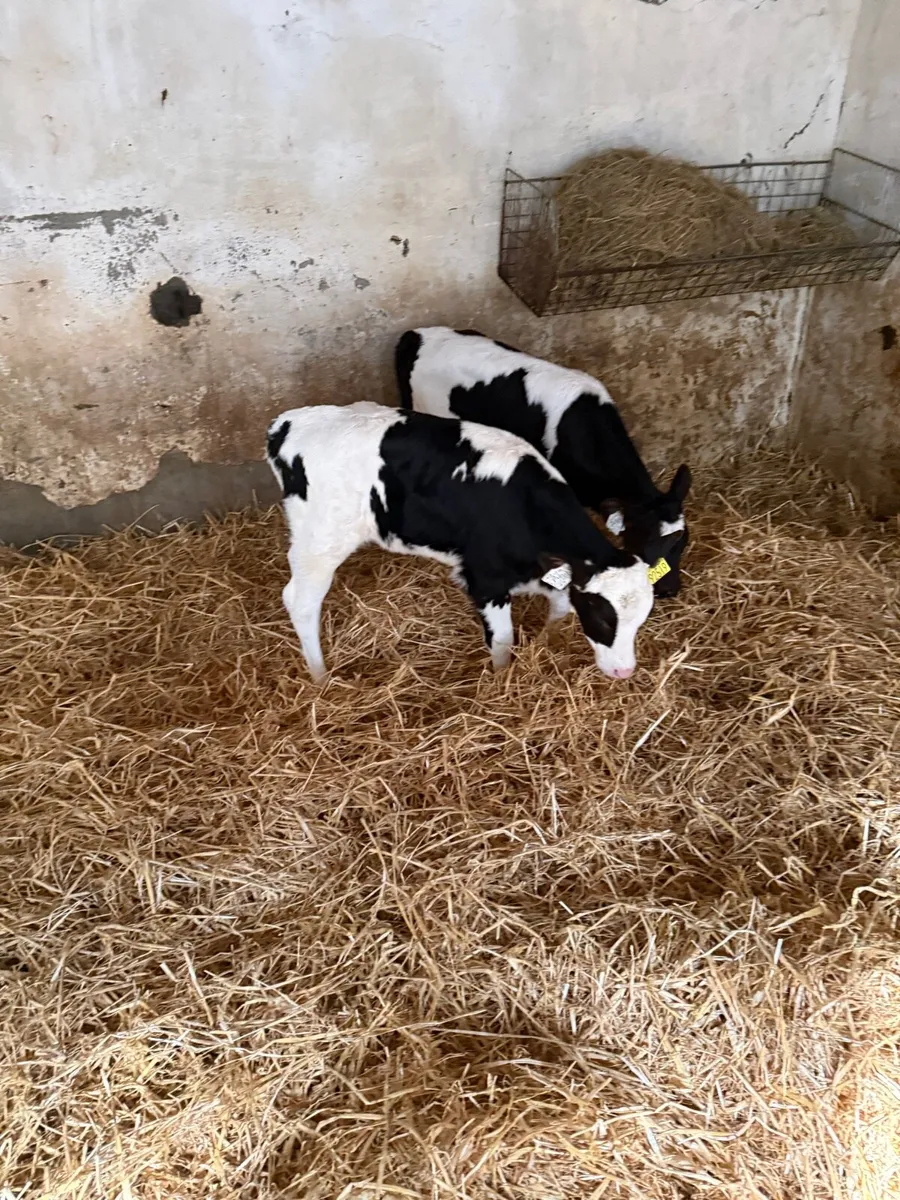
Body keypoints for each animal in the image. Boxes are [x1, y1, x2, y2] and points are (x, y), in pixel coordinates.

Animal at [266, 402, 677, 682]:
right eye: (602, 616)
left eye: (641, 618)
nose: (624, 671)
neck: (522, 506)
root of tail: (288, 424)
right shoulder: (485, 578)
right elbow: (503, 640)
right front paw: (500, 680)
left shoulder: (549, 569)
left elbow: (560, 606)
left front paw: (544, 643)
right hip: (320, 540)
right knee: (300, 601)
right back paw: (320, 677)